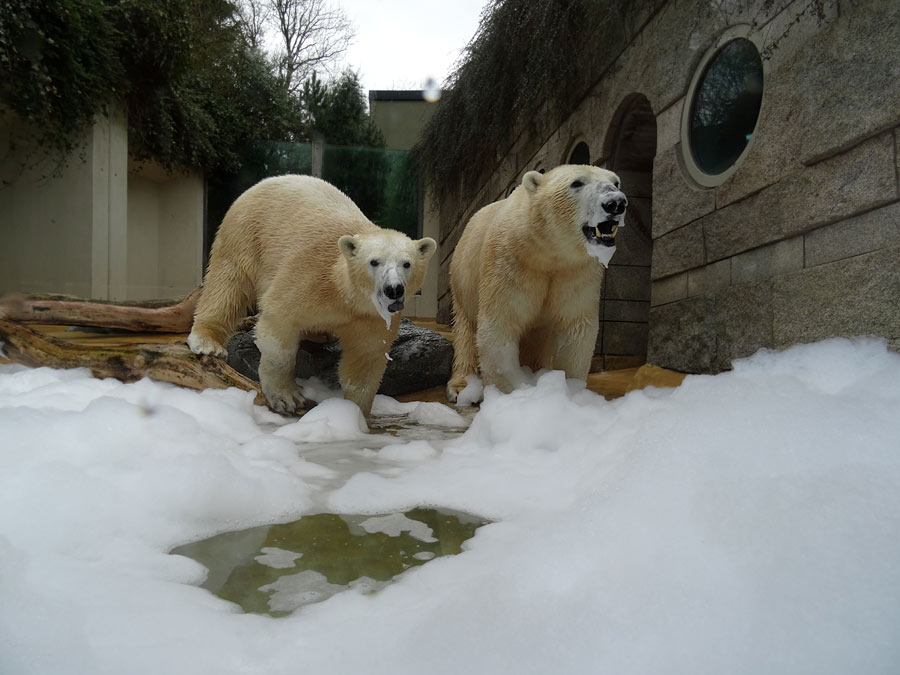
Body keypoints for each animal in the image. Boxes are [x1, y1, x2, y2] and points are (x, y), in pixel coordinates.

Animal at [191, 174, 440, 418]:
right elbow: (279, 322)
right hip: (246, 234)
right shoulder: (309, 275)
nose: (393, 289)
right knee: (227, 284)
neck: (345, 293)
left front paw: (355, 413)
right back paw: (208, 341)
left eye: (407, 263)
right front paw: (287, 397)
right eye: (374, 261)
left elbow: (364, 359)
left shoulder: (371, 317)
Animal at [442, 166, 624, 404]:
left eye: (616, 182)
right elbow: (500, 324)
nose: (616, 203)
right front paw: (515, 395)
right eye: (576, 183)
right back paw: (461, 387)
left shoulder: (576, 272)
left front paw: (570, 393)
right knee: (466, 331)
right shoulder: (509, 264)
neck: (546, 252)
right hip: (463, 279)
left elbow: (575, 327)